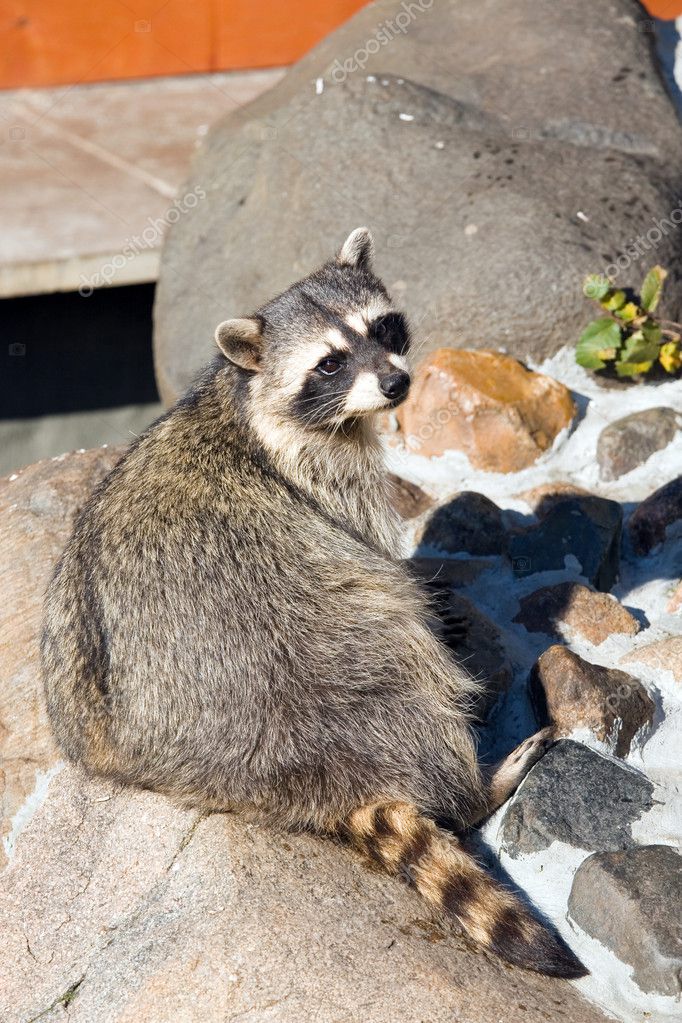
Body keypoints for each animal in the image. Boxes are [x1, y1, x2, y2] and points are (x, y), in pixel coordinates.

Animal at [42, 228, 588, 977]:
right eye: (329, 363)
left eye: (381, 328)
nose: (397, 383)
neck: (241, 390)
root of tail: (308, 777)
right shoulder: (323, 474)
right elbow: (379, 558)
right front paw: (429, 593)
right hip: (336, 673)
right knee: (401, 647)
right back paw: (473, 785)